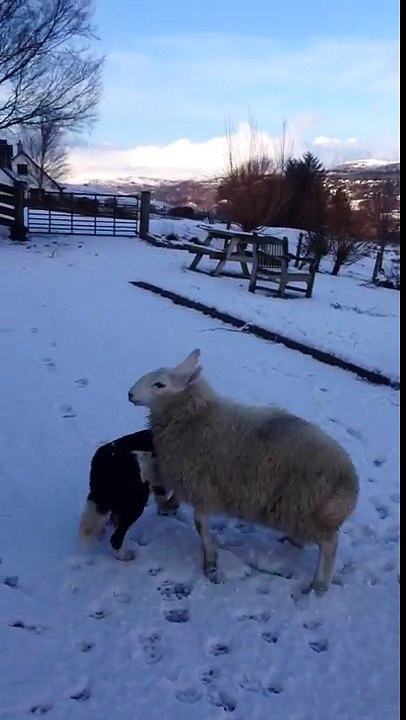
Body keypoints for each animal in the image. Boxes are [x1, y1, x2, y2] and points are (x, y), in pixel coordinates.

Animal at [128, 349, 359, 593]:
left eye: (159, 384)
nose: (130, 394)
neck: (194, 417)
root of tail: (349, 480)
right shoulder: (189, 476)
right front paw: (170, 506)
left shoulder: (202, 485)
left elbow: (200, 524)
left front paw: (210, 561)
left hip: (305, 508)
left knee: (330, 544)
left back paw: (319, 585)